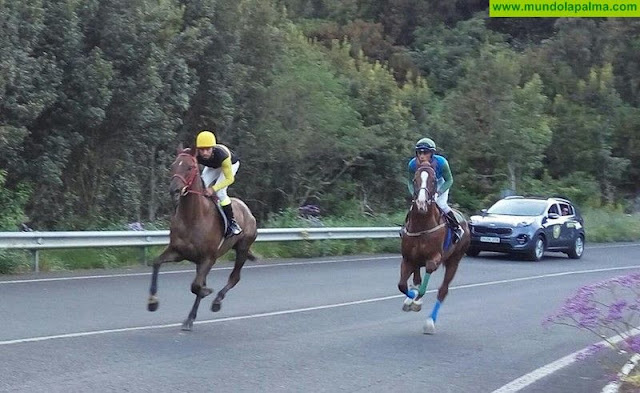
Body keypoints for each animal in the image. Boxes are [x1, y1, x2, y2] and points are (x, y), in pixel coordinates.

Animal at [149, 145, 258, 330]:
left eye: (190, 167)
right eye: (173, 165)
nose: (174, 190)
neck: (192, 218)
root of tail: (246, 209)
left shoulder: (208, 258)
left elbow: (196, 286)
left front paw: (208, 292)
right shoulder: (178, 252)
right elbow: (156, 263)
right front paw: (152, 302)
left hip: (243, 248)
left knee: (234, 277)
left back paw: (216, 301)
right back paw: (191, 317)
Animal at [400, 162, 470, 334]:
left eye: (433, 181)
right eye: (415, 179)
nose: (421, 203)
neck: (422, 225)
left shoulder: (434, 259)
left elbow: (423, 287)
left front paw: (416, 302)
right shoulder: (407, 258)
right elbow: (402, 285)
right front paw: (410, 299)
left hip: (454, 261)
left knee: (443, 290)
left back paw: (430, 321)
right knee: (417, 278)